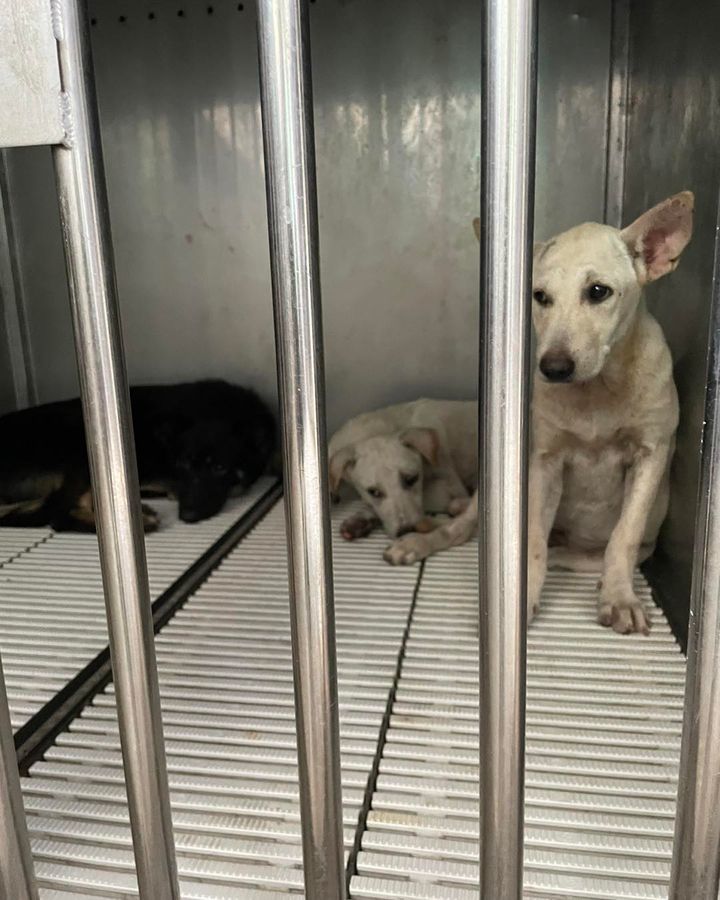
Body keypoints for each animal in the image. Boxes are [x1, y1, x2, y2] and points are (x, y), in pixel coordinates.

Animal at [382, 193, 692, 636]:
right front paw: (519, 601)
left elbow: (624, 536)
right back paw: (419, 543)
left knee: (578, 553)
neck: (597, 392)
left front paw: (619, 597)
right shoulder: (544, 462)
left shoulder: (650, 456)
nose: (554, 368)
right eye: (539, 296)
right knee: (469, 532)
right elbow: (529, 544)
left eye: (598, 292)